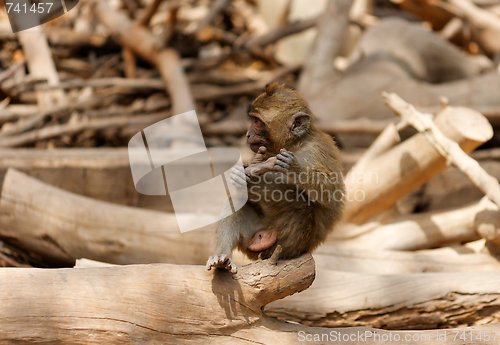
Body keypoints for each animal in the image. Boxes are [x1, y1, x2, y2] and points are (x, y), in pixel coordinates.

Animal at [206, 82, 344, 272]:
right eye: (252, 120)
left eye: (257, 122)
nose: (247, 134)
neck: (295, 144)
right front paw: (245, 171)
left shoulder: (315, 151)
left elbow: (330, 192)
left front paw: (294, 168)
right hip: (252, 235)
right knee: (238, 198)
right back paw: (221, 257)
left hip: (290, 241)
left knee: (297, 202)